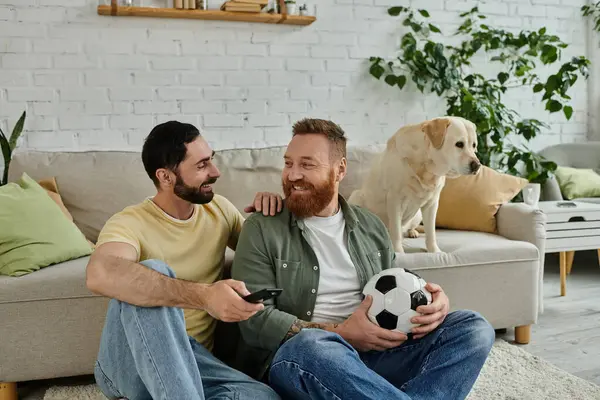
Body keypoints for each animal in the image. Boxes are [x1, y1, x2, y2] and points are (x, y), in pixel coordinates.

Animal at [350, 116, 480, 253]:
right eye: (459, 144)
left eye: (474, 145)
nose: (477, 165)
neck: (426, 167)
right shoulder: (395, 200)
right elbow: (396, 231)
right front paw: (399, 252)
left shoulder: (432, 203)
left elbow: (431, 232)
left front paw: (435, 251)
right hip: (356, 196)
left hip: (417, 215)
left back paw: (412, 232)